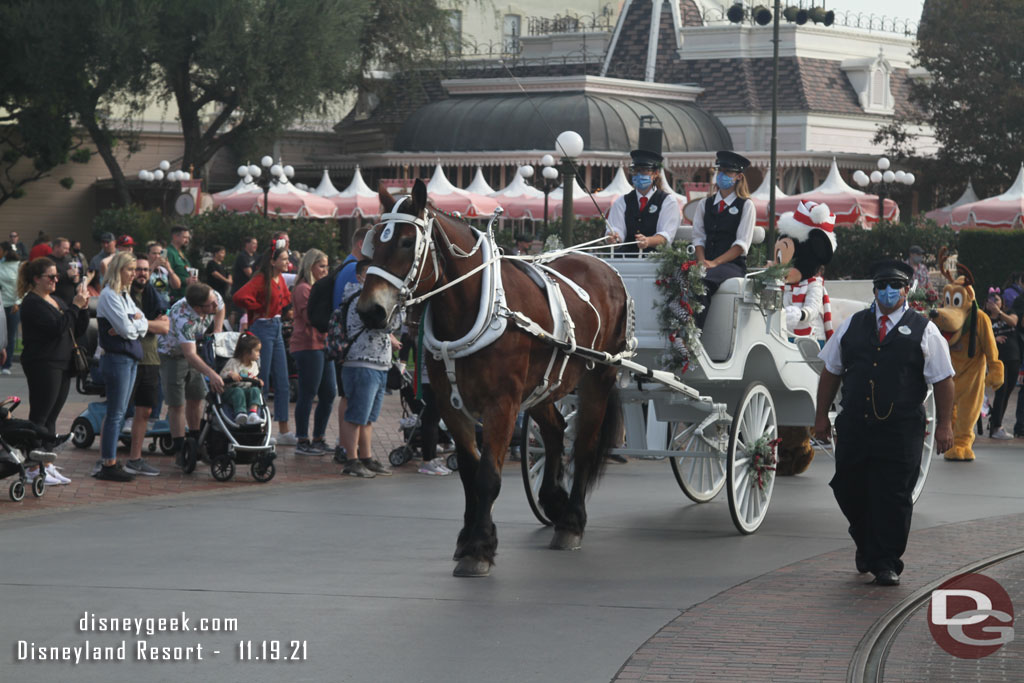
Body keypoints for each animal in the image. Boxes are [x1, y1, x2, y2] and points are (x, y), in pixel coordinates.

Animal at [360, 180, 630, 577]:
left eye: (408, 242)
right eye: (373, 239)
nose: (370, 311)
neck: (477, 306)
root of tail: (603, 266)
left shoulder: (502, 404)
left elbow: (488, 476)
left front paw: (479, 549)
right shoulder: (450, 403)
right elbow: (470, 473)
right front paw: (470, 537)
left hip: (599, 376)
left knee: (583, 444)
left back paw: (571, 521)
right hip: (544, 386)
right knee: (554, 431)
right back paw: (554, 500)